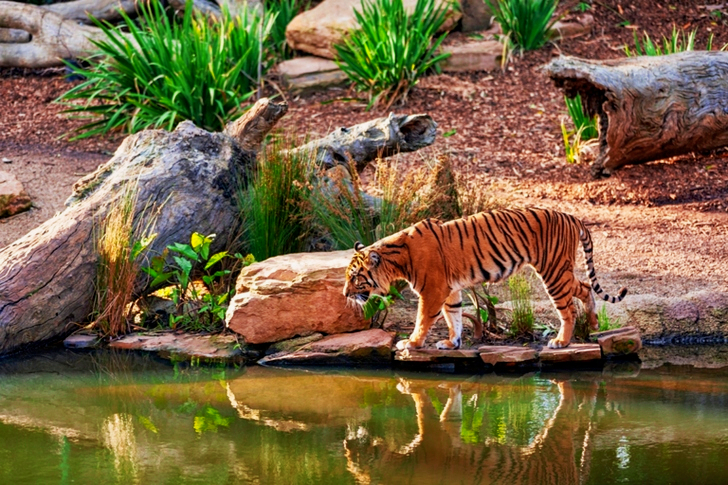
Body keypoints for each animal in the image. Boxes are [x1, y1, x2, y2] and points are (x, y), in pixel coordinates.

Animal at [343, 208, 627, 350]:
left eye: (356, 277)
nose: (345, 294)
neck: (397, 258)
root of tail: (571, 216)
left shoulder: (432, 291)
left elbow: (423, 319)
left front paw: (411, 343)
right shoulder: (450, 290)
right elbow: (454, 317)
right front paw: (452, 342)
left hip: (553, 271)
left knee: (567, 309)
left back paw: (561, 341)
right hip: (562, 271)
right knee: (586, 287)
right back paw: (593, 323)